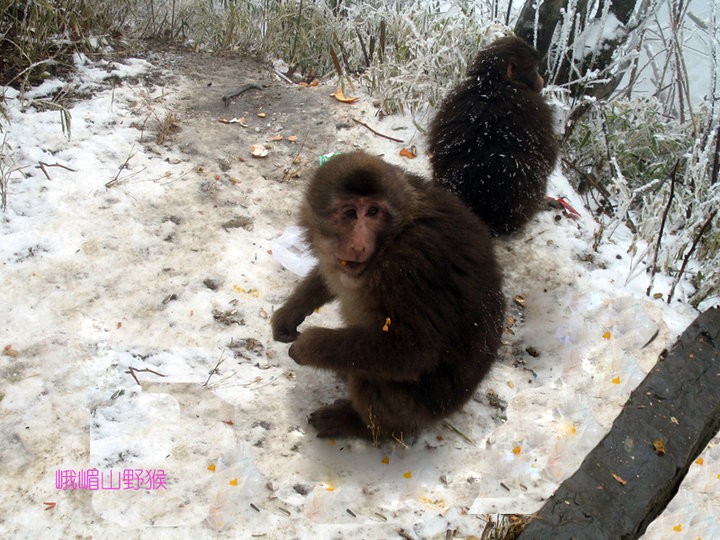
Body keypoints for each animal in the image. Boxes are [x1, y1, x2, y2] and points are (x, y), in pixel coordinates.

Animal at [272, 150, 504, 440]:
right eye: (350, 213)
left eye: (373, 212)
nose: (359, 245)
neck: (394, 236)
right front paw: (290, 312)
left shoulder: (411, 267)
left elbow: (412, 351)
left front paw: (308, 346)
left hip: (411, 409)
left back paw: (360, 425)